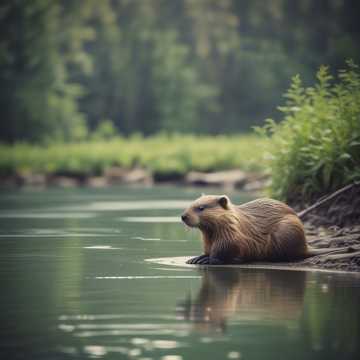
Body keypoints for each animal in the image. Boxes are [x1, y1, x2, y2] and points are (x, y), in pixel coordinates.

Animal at [181, 194, 344, 264]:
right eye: (191, 204)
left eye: (201, 208)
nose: (183, 216)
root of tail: (306, 247)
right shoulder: (208, 237)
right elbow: (209, 248)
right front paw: (197, 258)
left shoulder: (232, 234)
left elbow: (226, 248)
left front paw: (207, 259)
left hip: (286, 230)